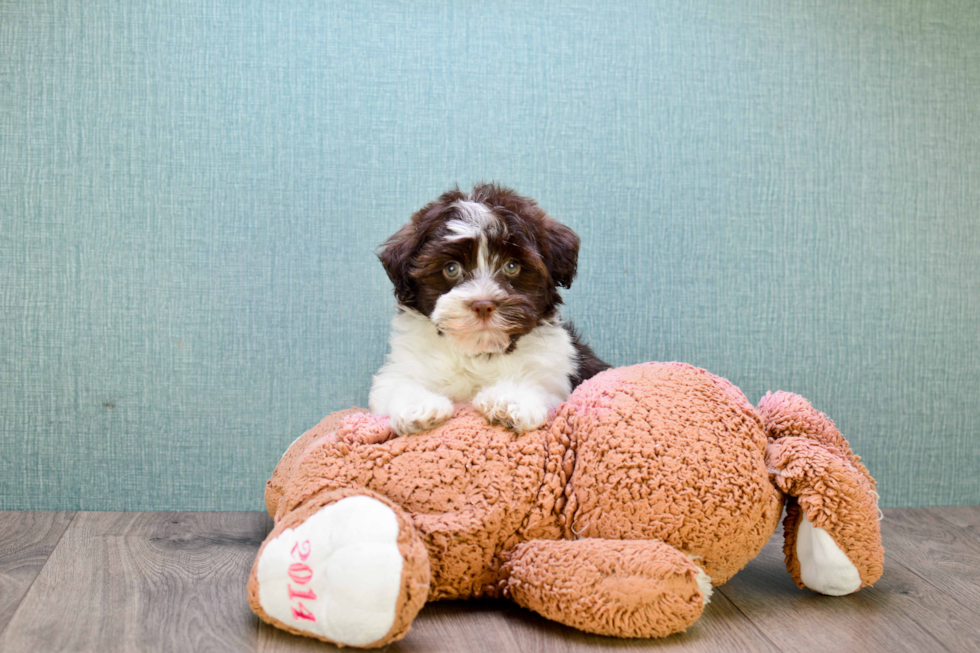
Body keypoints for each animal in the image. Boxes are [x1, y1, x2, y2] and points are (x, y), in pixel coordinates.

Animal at [372, 183, 608, 436]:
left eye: (512, 266)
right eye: (451, 268)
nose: (483, 305)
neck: (479, 352)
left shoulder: (556, 374)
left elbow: (538, 385)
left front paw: (510, 400)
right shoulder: (401, 367)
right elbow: (397, 385)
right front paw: (420, 406)